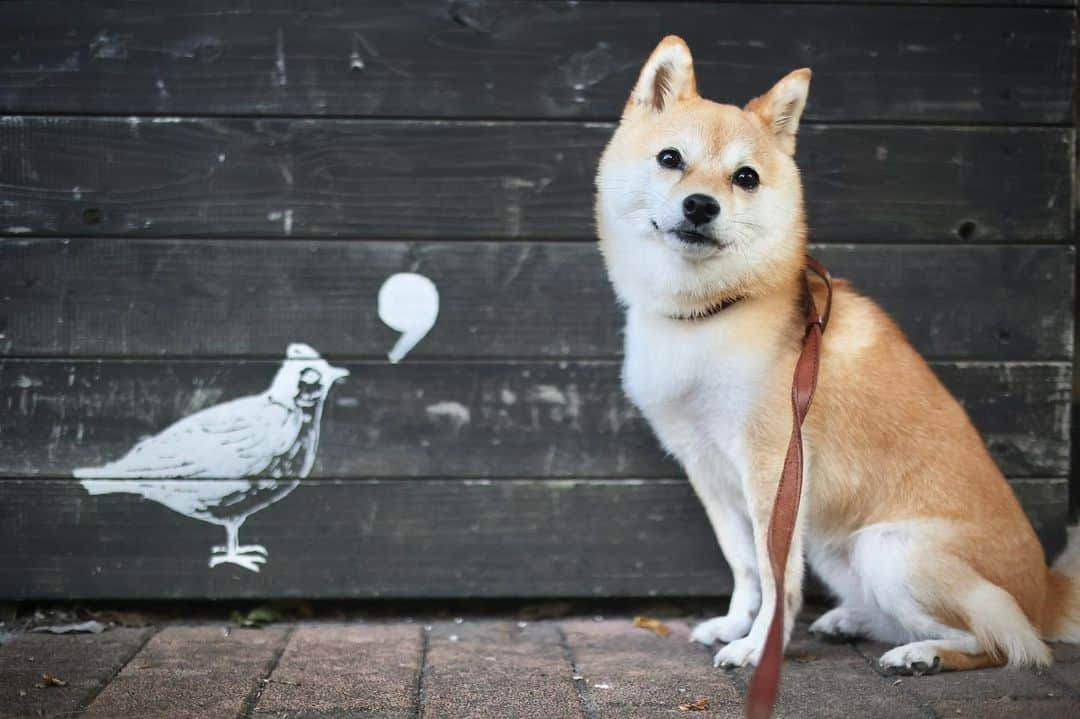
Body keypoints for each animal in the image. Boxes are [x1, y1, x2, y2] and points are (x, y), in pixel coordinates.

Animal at [596, 36, 1075, 669]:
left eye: (745, 177)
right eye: (670, 158)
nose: (701, 206)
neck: (713, 312)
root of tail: (1046, 592)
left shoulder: (774, 470)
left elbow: (777, 577)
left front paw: (758, 647)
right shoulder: (708, 469)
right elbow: (744, 564)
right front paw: (735, 625)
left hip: (889, 548)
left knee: (1004, 641)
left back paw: (924, 655)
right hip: (838, 548)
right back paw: (854, 620)